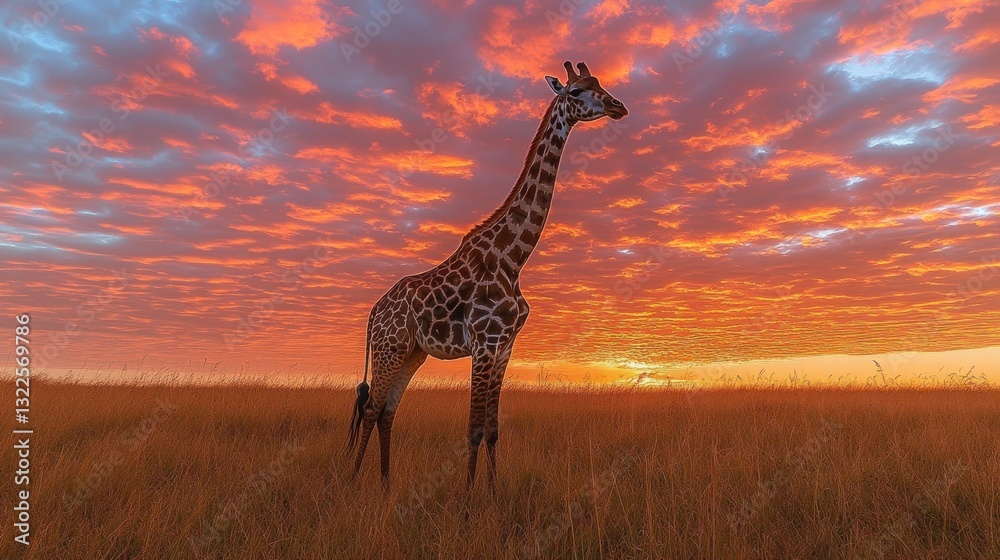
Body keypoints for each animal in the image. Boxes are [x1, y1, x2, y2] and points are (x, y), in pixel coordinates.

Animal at [347, 61, 628, 490]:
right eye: (577, 91)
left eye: (599, 83)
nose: (618, 106)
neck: (513, 257)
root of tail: (374, 312)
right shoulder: (484, 344)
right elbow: (473, 430)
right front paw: (466, 498)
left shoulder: (506, 347)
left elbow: (493, 430)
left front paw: (494, 493)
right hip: (388, 348)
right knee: (370, 409)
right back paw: (353, 482)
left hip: (412, 353)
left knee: (386, 411)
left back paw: (385, 484)